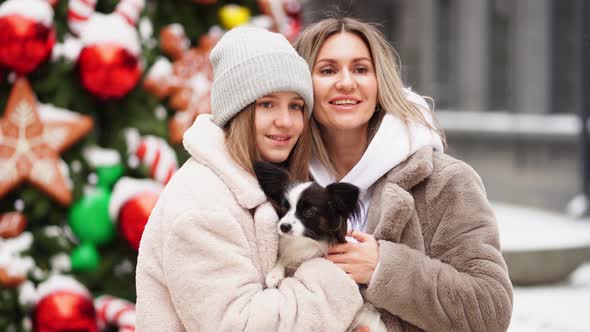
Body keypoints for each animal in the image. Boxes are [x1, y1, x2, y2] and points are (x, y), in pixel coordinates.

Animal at [254, 163, 388, 332]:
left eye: (308, 212)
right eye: (284, 208)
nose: (284, 226)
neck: (305, 242)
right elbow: (284, 257)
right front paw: (274, 274)